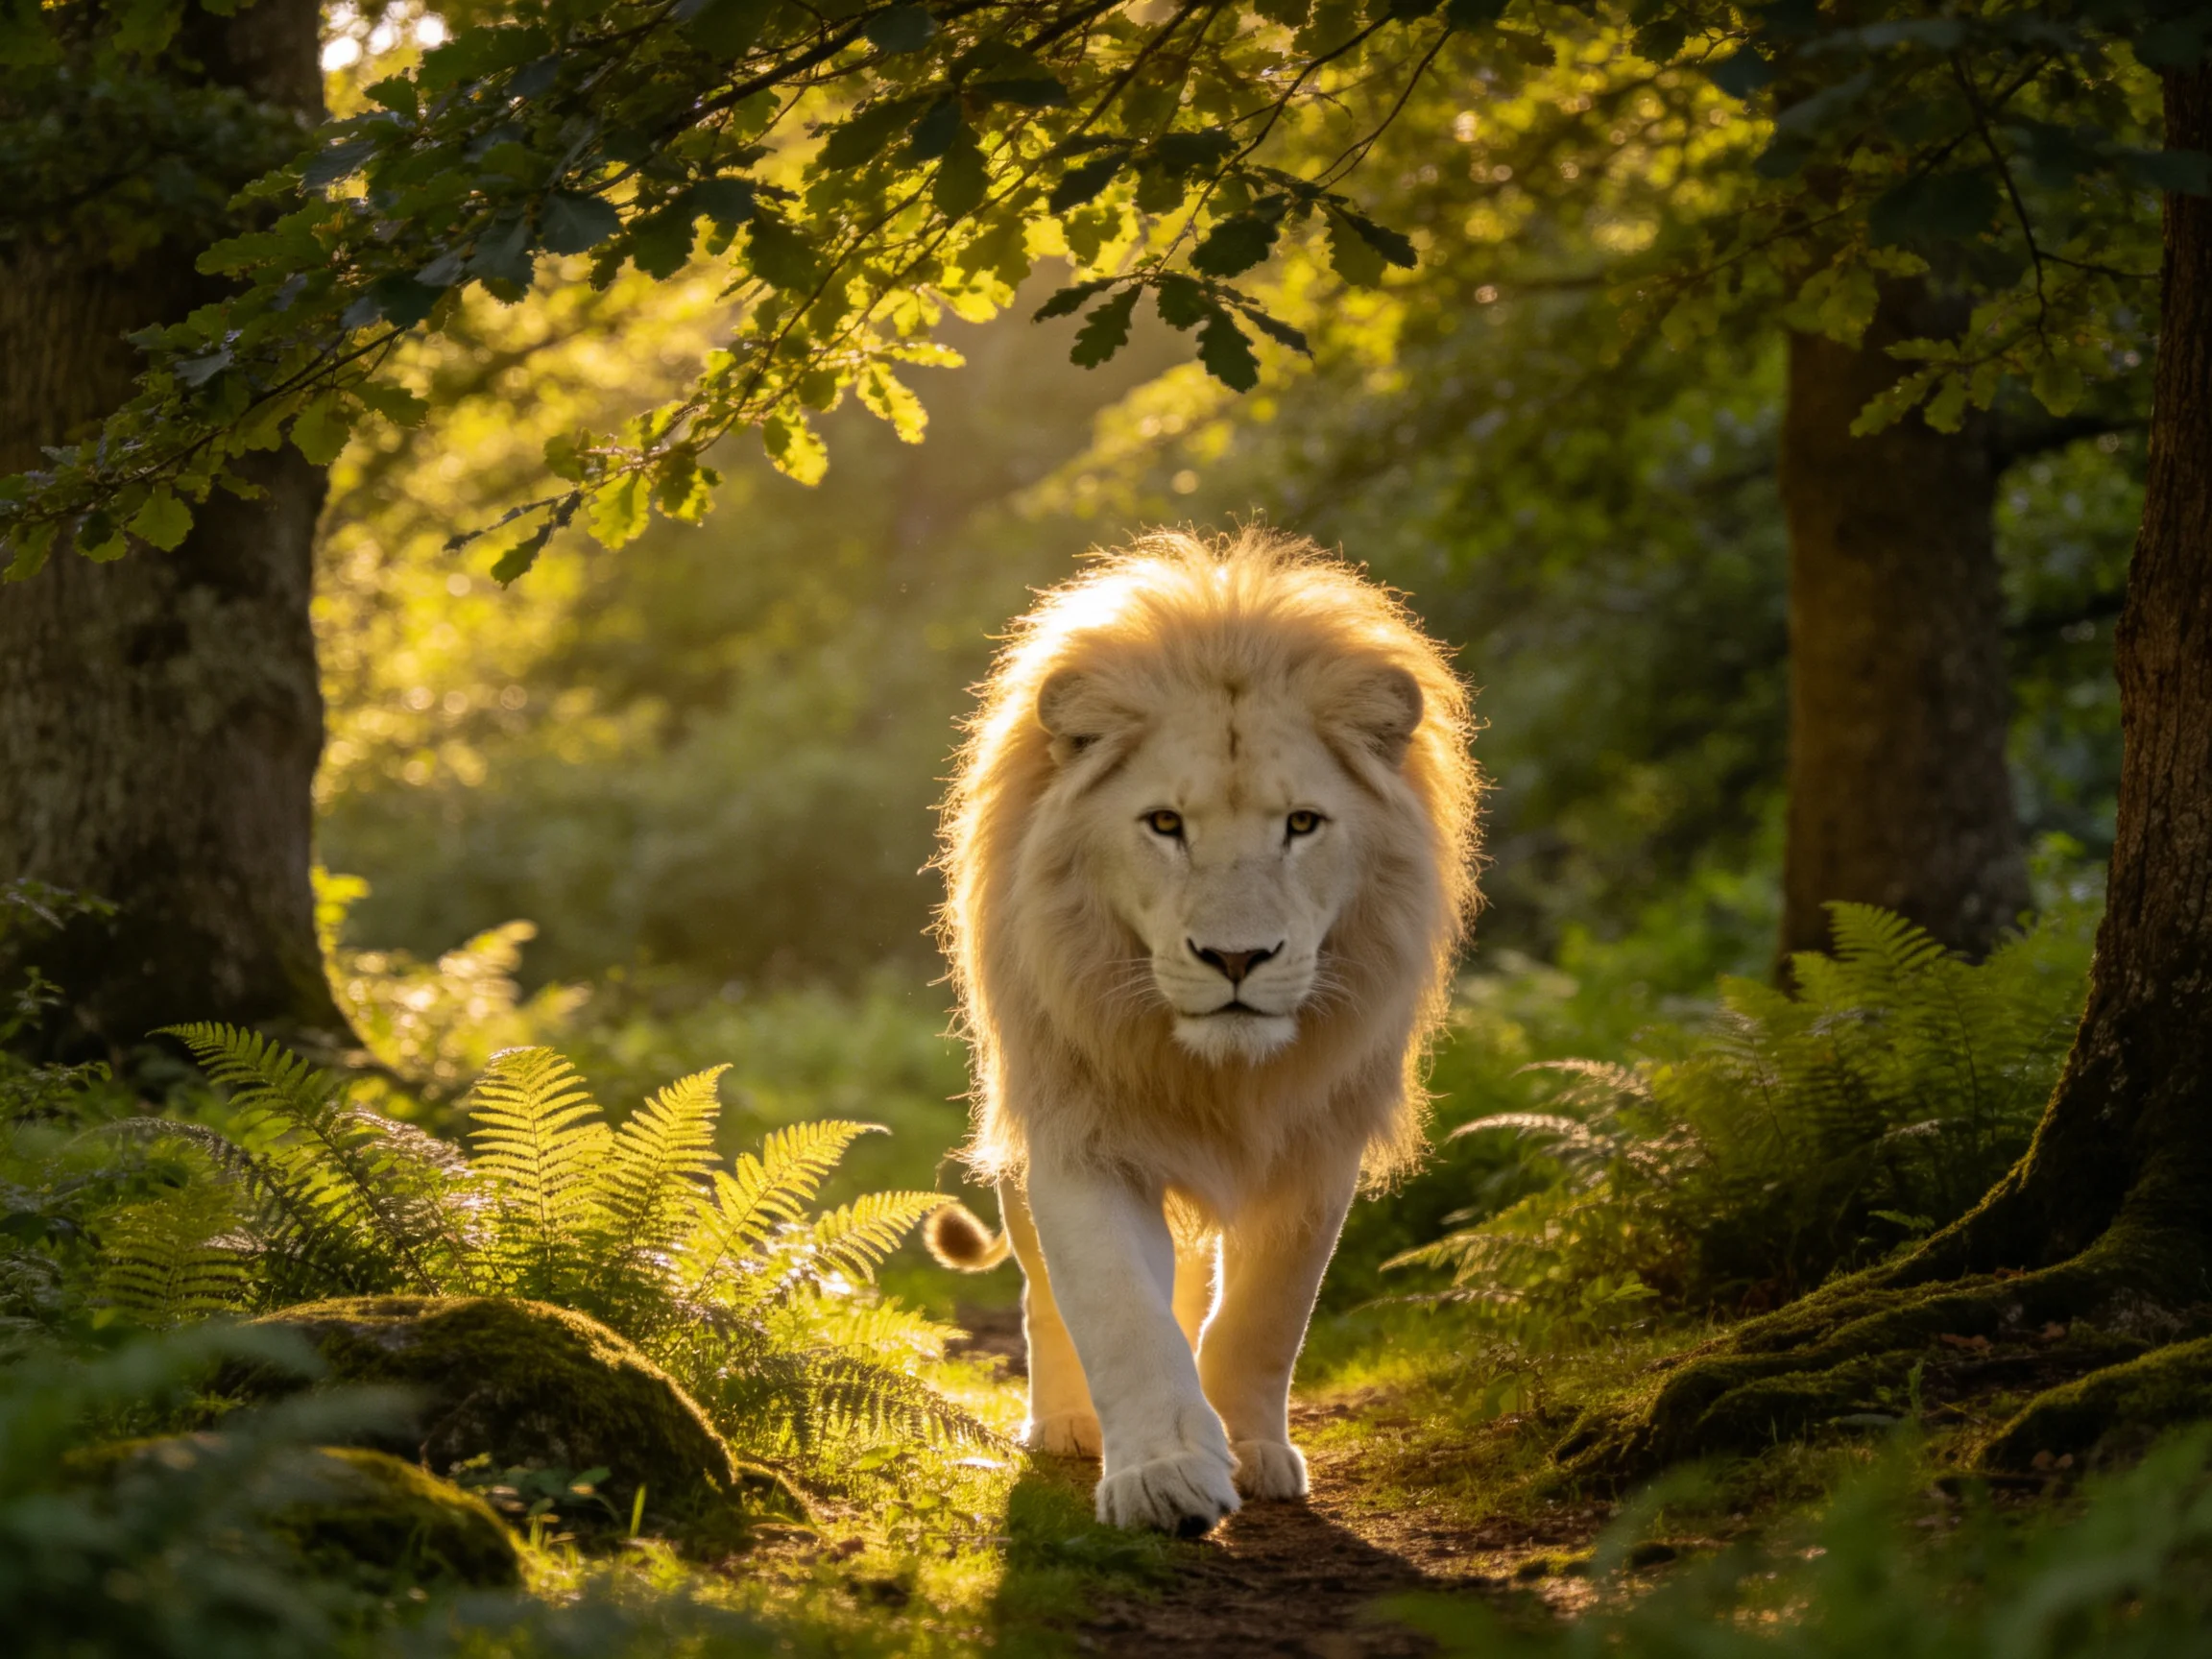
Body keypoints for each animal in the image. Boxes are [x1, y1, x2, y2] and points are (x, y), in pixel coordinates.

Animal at [924, 526, 1479, 1533]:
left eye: (1302, 823)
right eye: (1164, 824)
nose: (1236, 957)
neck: (1218, 1074)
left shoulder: (1318, 1142)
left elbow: (1268, 1315)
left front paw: (1252, 1447)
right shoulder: (1078, 1127)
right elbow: (1116, 1309)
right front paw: (1165, 1474)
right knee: (1043, 1295)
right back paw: (1067, 1425)